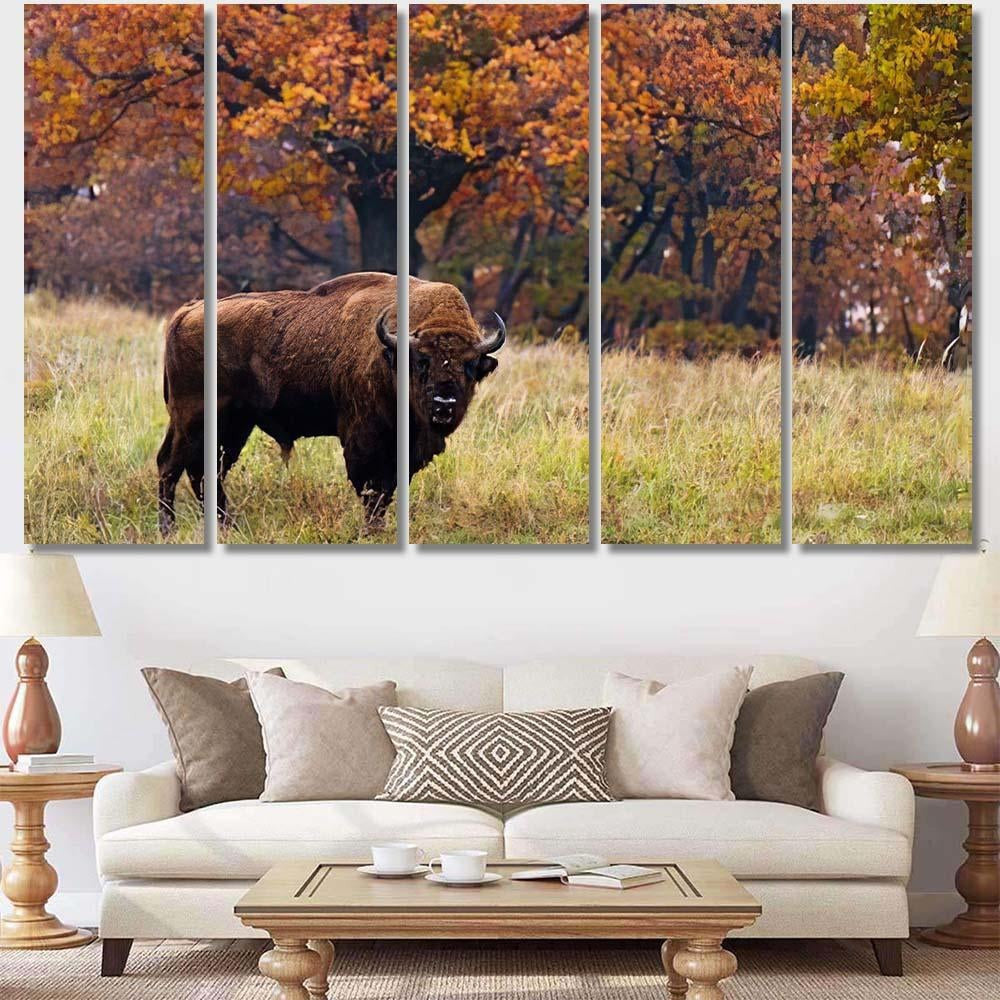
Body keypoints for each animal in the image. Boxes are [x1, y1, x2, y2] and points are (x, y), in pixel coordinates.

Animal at [157, 271, 505, 536]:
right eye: (421, 361)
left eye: (469, 365)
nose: (444, 403)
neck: (391, 355)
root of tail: (187, 312)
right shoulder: (364, 441)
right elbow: (372, 490)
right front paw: (371, 531)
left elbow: (388, 489)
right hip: (195, 418)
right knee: (171, 464)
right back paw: (169, 529)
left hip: (233, 426)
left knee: (205, 471)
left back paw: (227, 526)